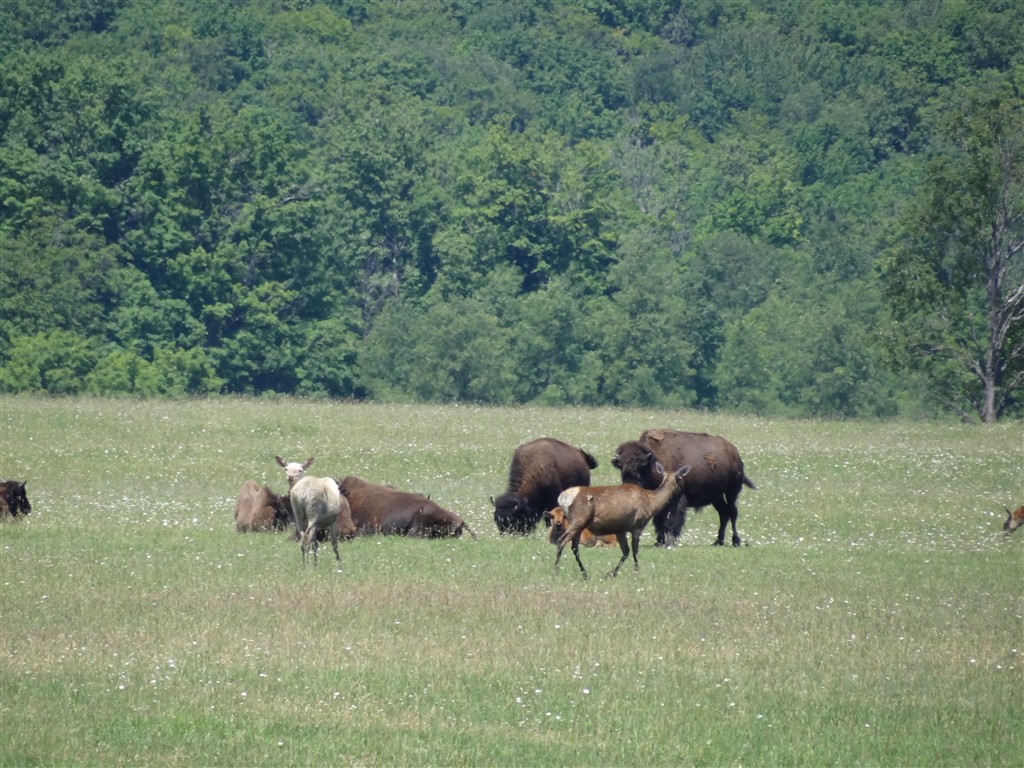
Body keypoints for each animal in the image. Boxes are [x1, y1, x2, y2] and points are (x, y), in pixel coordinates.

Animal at [612, 428, 755, 547]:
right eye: (621, 466)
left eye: (641, 465)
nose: (629, 485)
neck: (654, 461)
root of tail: (735, 453)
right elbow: (659, 520)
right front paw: (659, 542)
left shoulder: (676, 498)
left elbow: (671, 518)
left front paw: (669, 541)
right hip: (717, 497)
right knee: (723, 513)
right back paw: (718, 541)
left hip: (732, 491)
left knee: (732, 512)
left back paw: (735, 541)